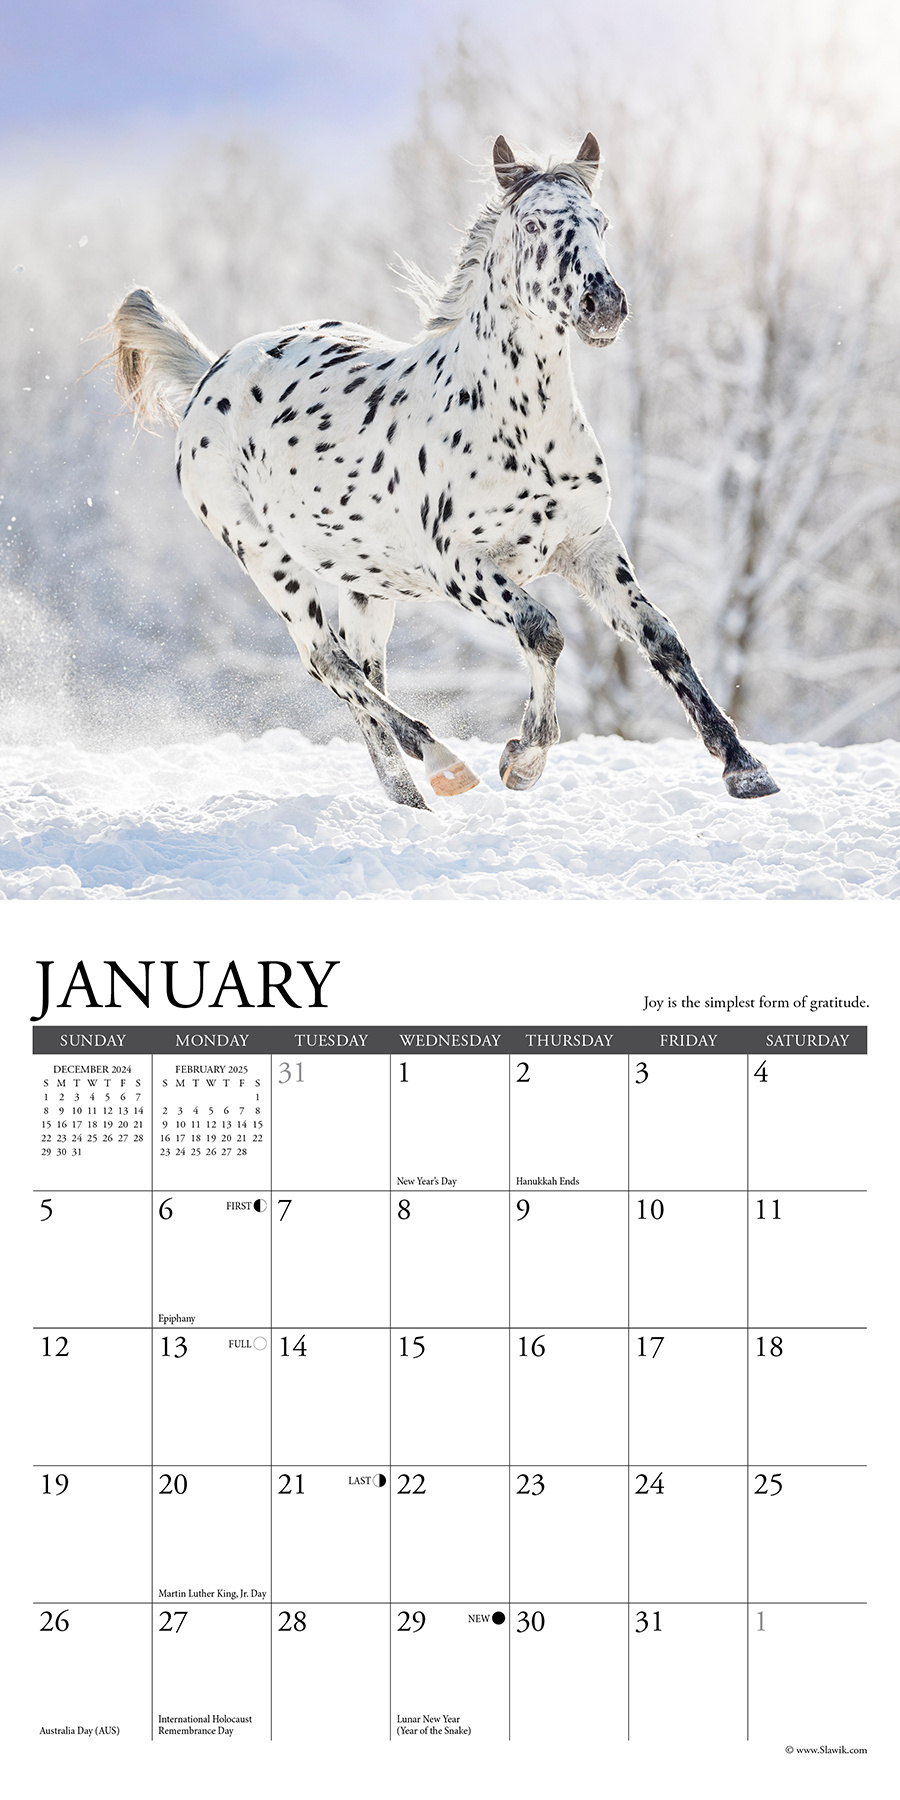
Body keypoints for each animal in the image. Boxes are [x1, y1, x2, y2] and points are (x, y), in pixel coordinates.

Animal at [106, 133, 778, 809]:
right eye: (533, 223)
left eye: (601, 222)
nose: (604, 307)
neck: (520, 426)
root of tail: (210, 373)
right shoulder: (459, 565)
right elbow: (542, 630)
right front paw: (522, 758)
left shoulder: (589, 546)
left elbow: (660, 637)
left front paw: (743, 766)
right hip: (269, 562)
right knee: (328, 663)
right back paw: (442, 763)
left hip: (365, 584)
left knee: (362, 673)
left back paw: (409, 798)